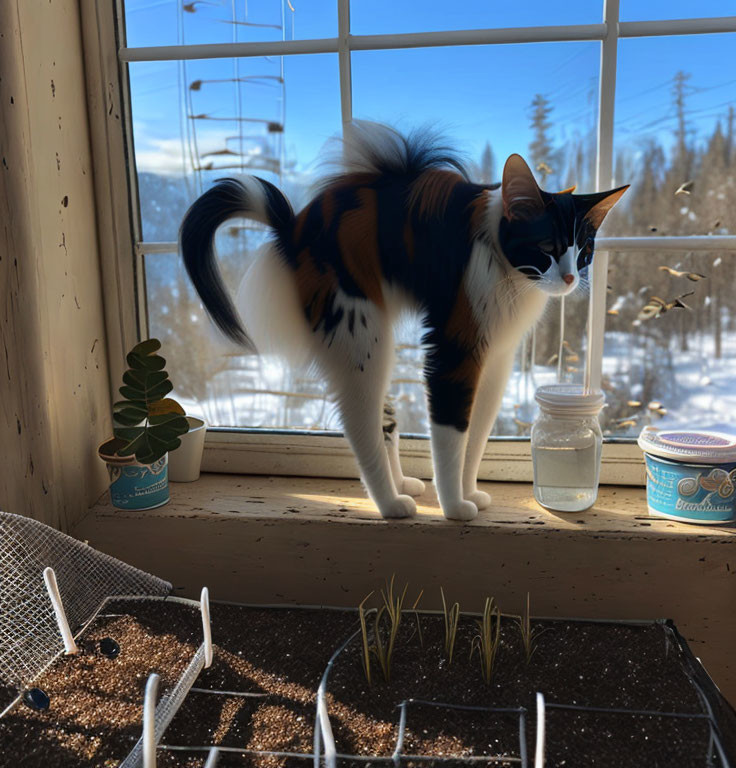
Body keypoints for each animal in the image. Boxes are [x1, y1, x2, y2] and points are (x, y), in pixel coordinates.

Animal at [180, 121, 628, 520]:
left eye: (584, 251)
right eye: (546, 246)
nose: (570, 277)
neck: (507, 272)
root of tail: (292, 227)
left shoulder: (496, 362)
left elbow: (476, 437)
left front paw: (470, 494)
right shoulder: (452, 352)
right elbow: (450, 437)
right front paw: (454, 507)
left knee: (384, 421)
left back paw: (403, 487)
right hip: (362, 340)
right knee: (360, 429)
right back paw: (390, 504)